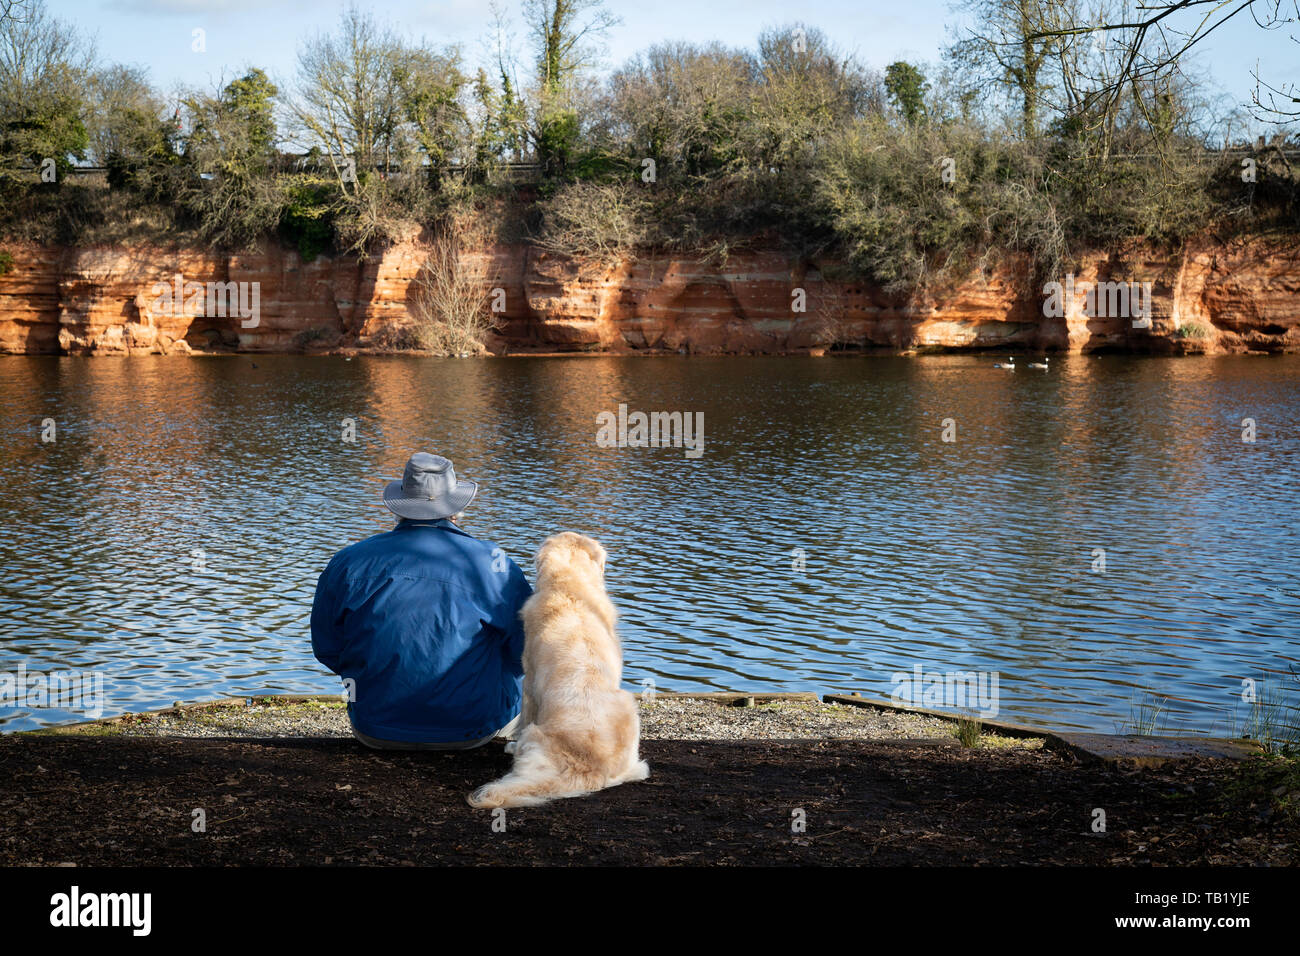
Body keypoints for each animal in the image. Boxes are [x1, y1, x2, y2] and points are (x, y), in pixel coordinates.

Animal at [467, 530, 650, 806]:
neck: (570, 587)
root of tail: (589, 769)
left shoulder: (528, 684)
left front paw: (510, 743)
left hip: (534, 734)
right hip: (629, 709)